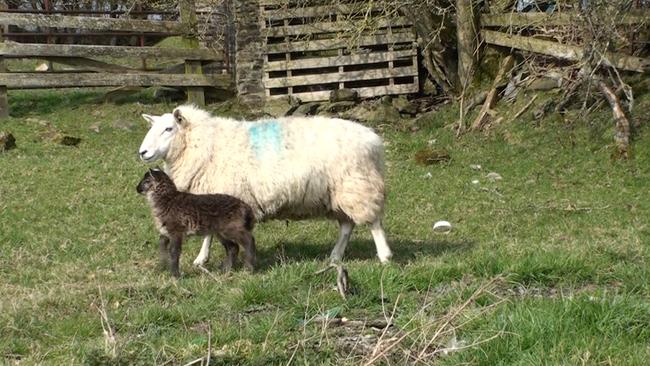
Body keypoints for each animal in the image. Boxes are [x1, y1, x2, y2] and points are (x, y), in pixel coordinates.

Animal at [137, 104, 390, 268]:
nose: (143, 152)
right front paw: (203, 259)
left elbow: (210, 234)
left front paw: (202, 258)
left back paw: (385, 256)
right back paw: (335, 256)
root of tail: (374, 141)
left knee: (373, 222)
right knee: (347, 226)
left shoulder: (220, 195)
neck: (205, 144)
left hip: (358, 185)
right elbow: (209, 232)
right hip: (339, 193)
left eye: (169, 129)